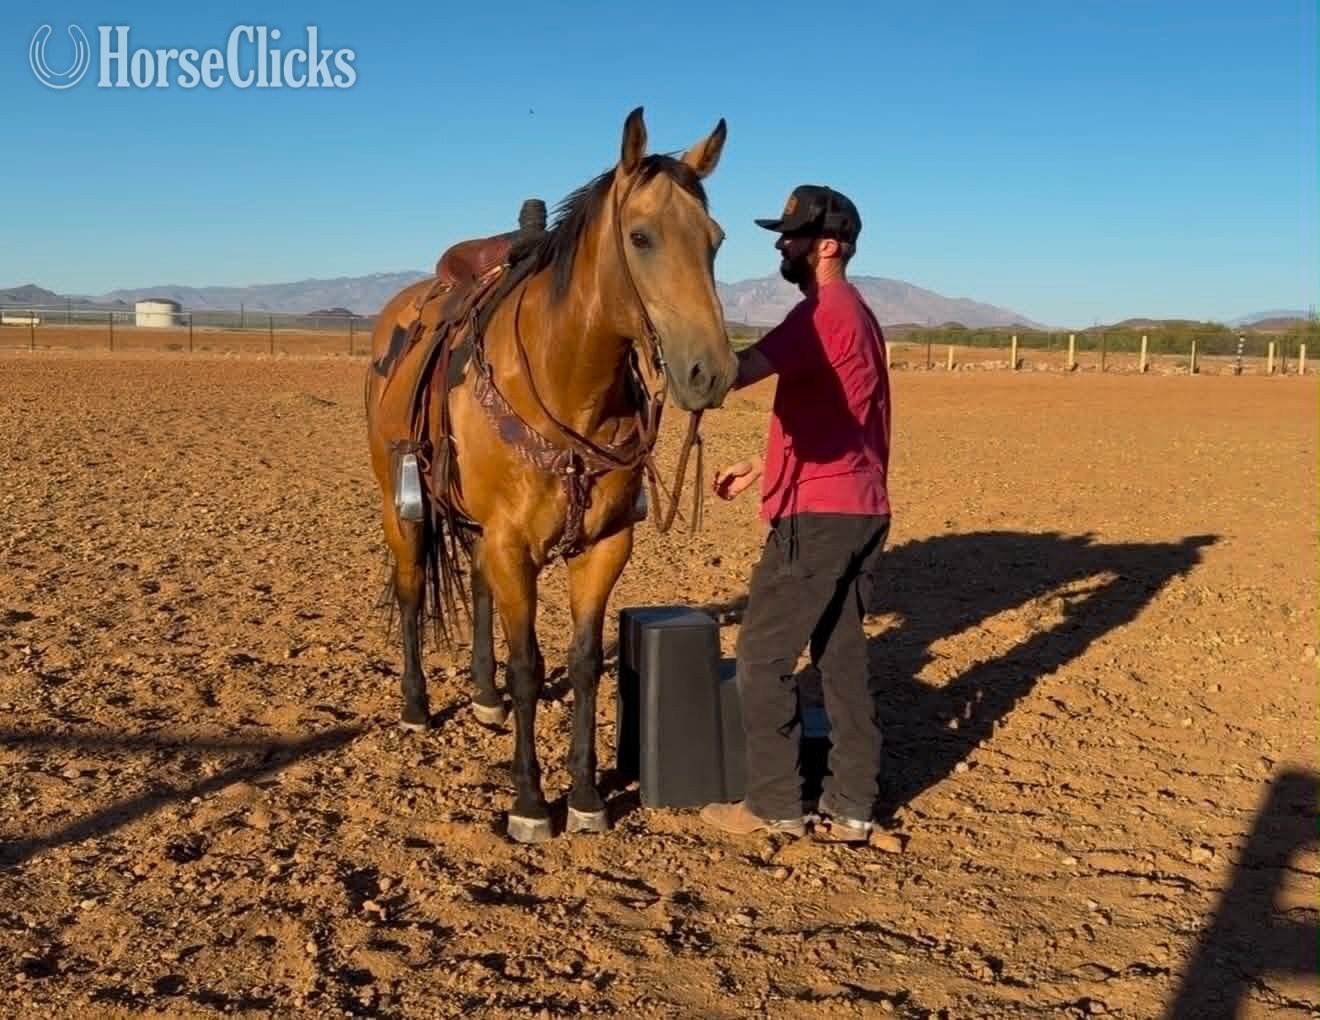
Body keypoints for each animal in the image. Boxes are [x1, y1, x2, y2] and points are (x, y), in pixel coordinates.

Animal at [364, 107, 738, 842]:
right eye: (641, 237)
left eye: (715, 240)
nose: (711, 372)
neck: (569, 386)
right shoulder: (514, 546)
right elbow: (531, 667)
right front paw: (531, 803)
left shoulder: (602, 546)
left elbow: (587, 664)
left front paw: (588, 795)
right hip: (402, 507)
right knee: (412, 591)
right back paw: (416, 706)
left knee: (478, 590)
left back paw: (484, 697)